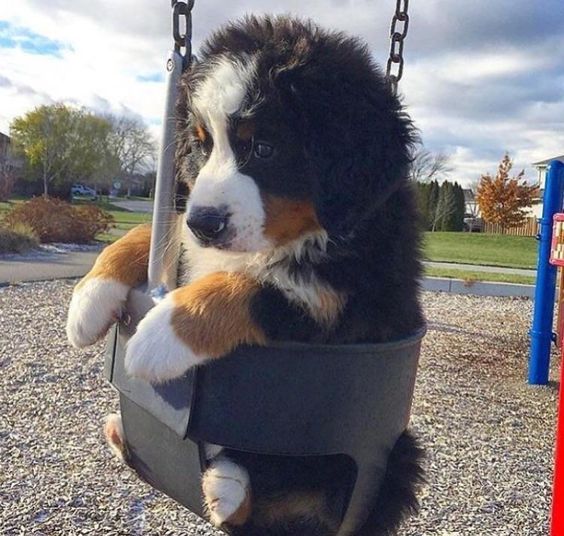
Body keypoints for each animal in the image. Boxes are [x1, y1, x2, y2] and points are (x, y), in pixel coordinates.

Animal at [67, 14, 424, 532]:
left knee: (292, 509)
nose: (206, 223)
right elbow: (154, 230)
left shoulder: (342, 304)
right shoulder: (185, 234)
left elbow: (250, 286)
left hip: (394, 458)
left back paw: (228, 488)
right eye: (200, 145)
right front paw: (89, 298)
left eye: (265, 148)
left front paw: (157, 339)